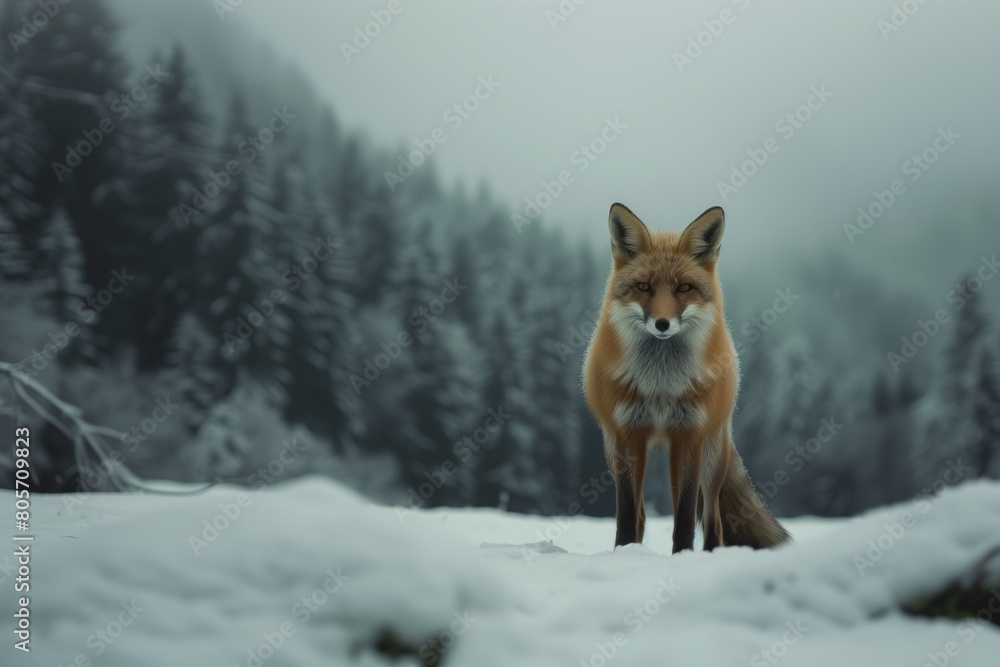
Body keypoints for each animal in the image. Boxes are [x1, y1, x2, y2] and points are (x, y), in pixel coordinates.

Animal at [583, 203, 790, 553]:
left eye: (683, 288)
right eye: (644, 287)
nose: (662, 324)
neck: (660, 385)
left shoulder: (689, 433)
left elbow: (684, 512)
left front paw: (682, 554)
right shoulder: (627, 434)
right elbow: (627, 511)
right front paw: (624, 552)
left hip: (713, 454)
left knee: (713, 516)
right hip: (613, 450)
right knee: (641, 511)